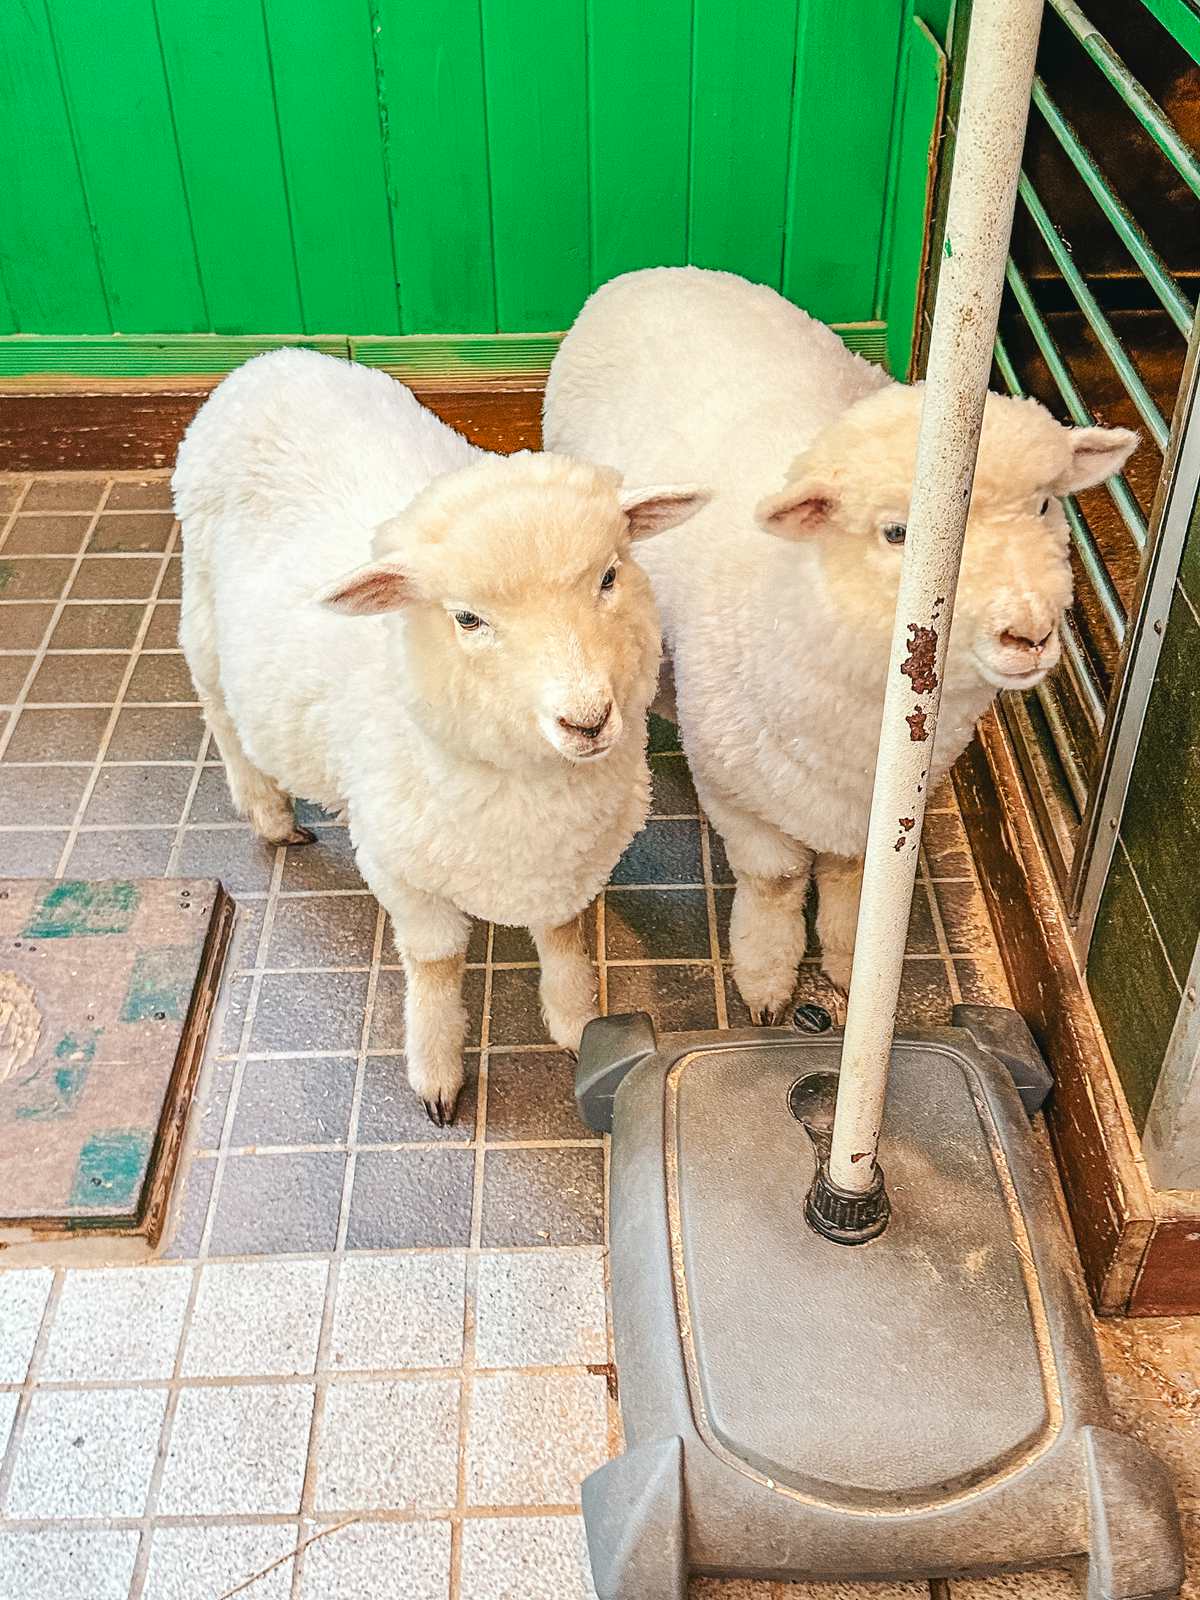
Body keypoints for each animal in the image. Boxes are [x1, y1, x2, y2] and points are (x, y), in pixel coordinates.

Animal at [173, 347, 710, 1126]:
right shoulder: (400, 869)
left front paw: (576, 1022)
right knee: (222, 713)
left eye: (610, 576)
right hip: (204, 619)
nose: (587, 718)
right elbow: (435, 962)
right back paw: (269, 813)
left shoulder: (570, 867)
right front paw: (434, 1071)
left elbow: (563, 936)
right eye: (466, 618)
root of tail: (271, 361)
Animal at [544, 262, 1139, 1011]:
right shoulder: (737, 789)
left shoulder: (877, 810)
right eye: (897, 532)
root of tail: (652, 270)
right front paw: (767, 974)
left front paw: (854, 963)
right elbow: (773, 880)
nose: (1028, 634)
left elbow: (851, 879)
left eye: (1043, 505)